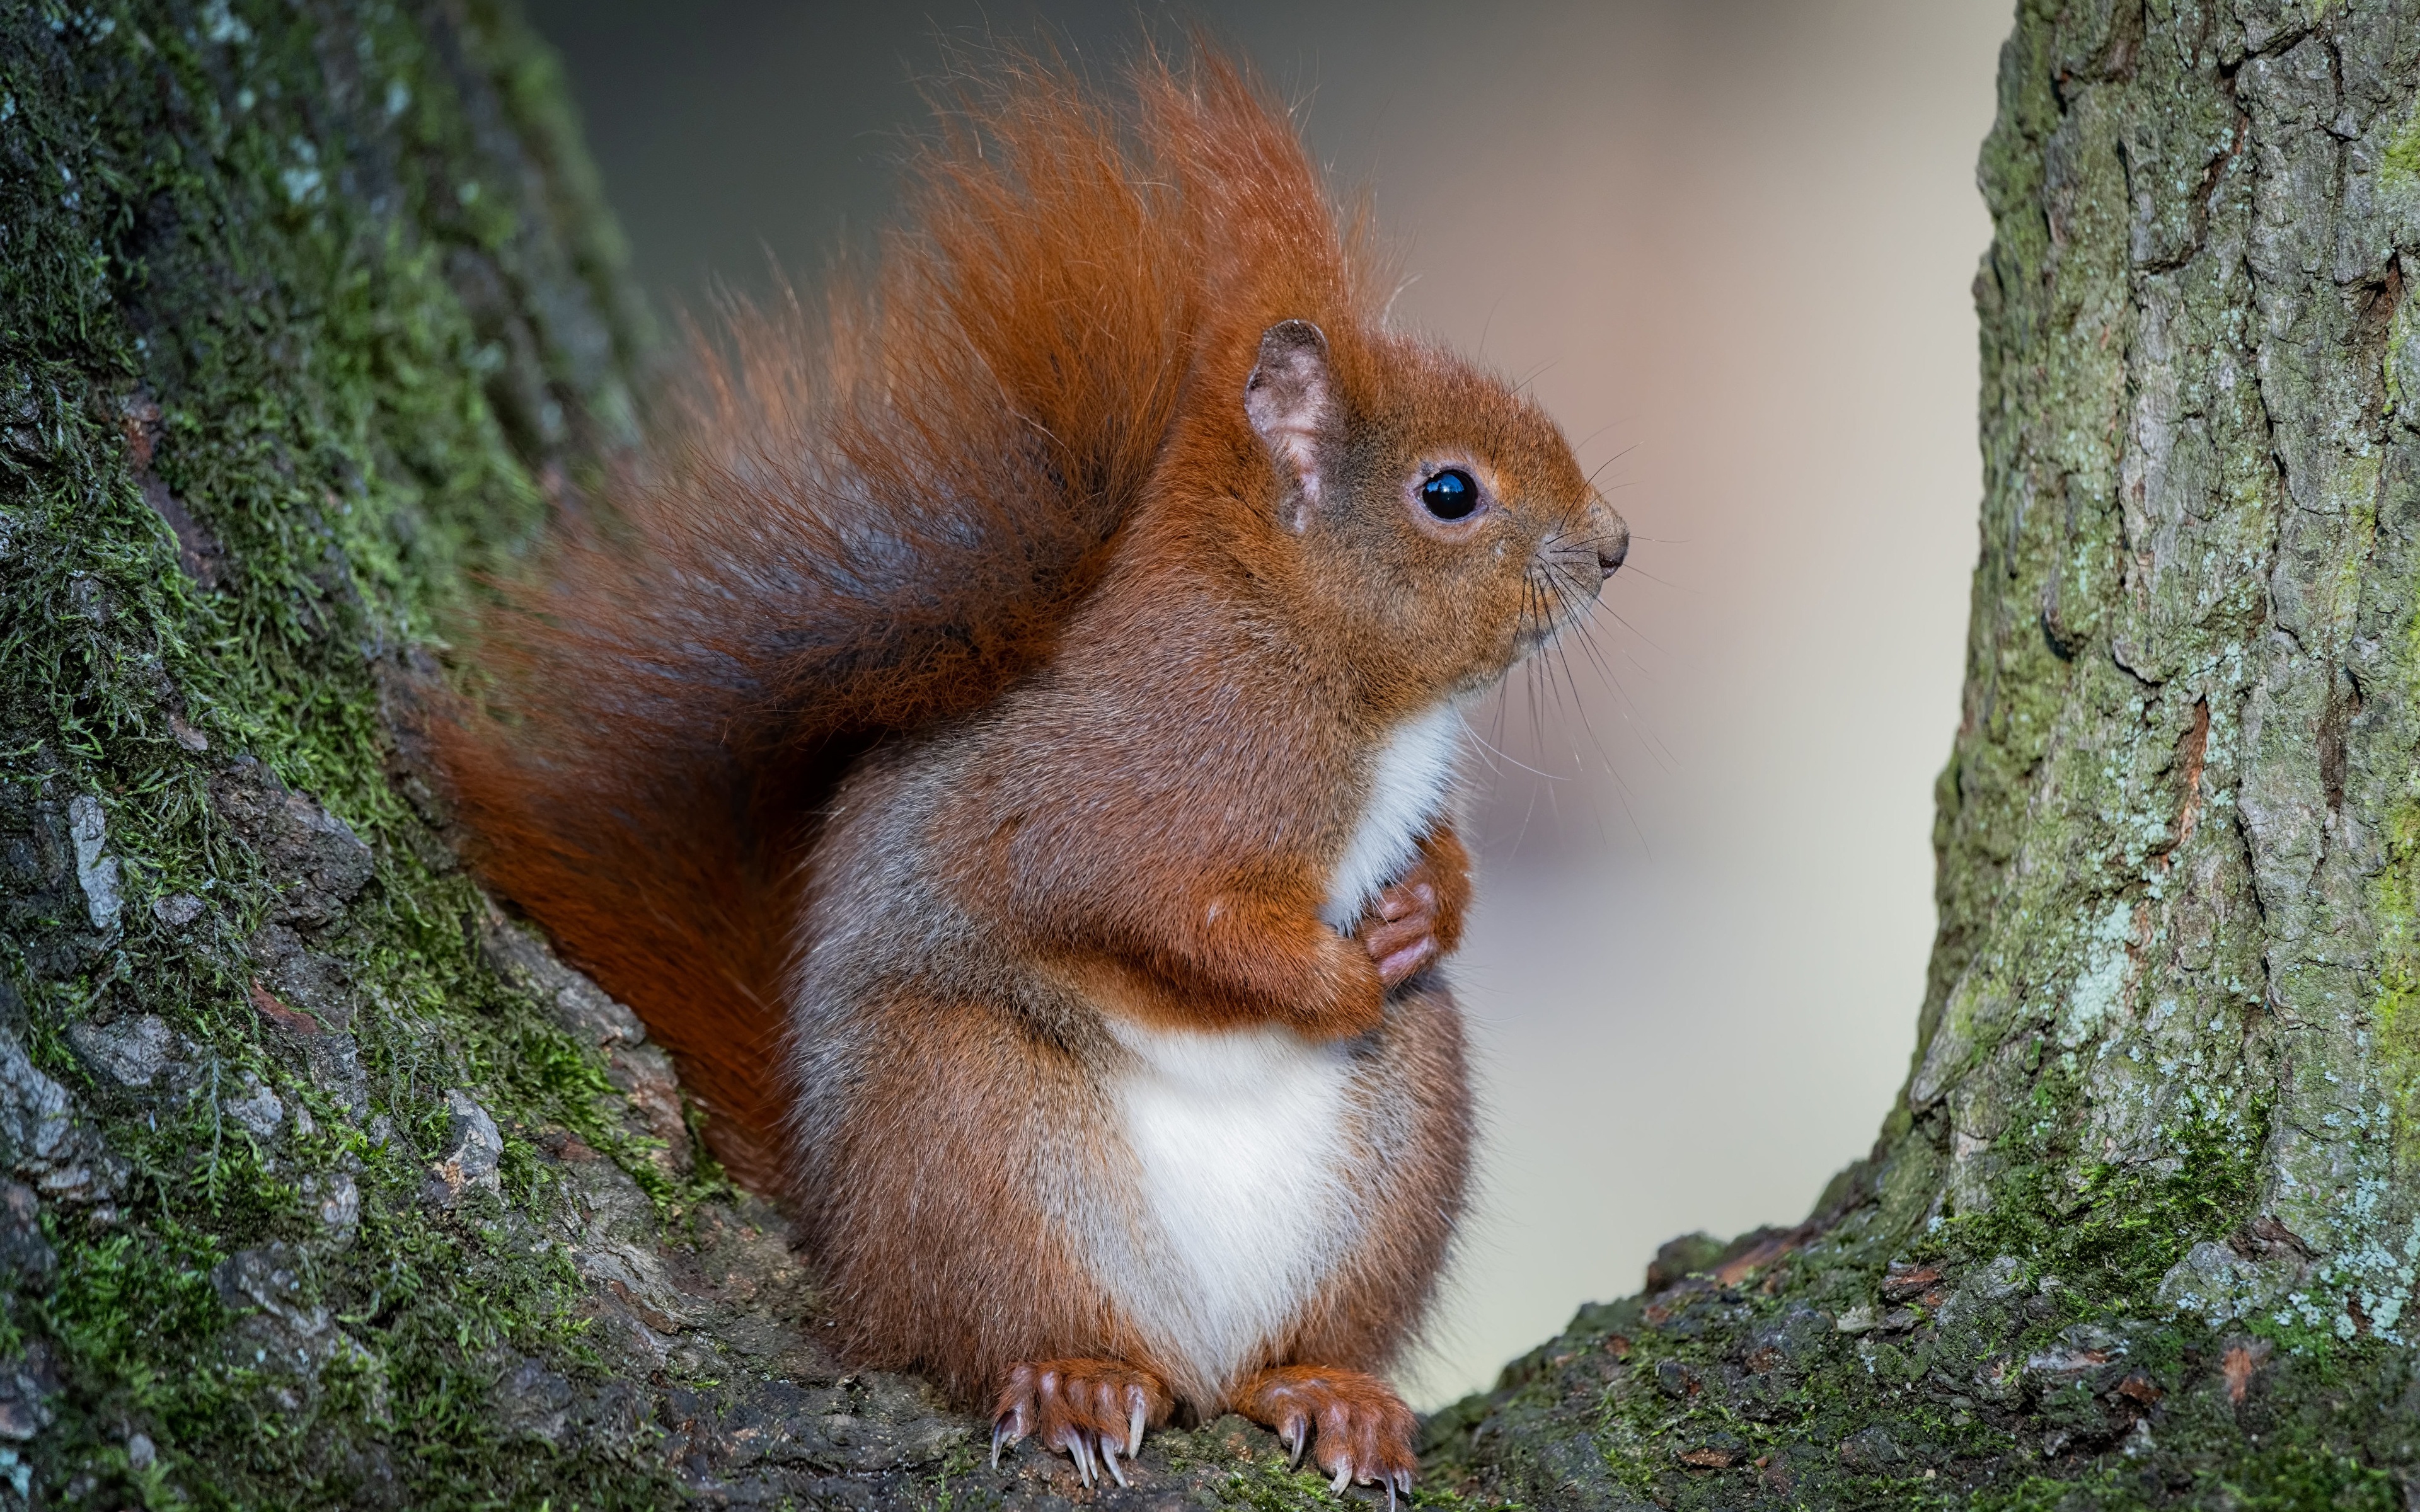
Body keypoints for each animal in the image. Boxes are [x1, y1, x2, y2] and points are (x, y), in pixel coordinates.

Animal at [434, 46, 1625, 1498]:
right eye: (1448, 493)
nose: (1617, 544)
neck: (1340, 675)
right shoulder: (1147, 777)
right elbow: (1145, 906)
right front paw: (1335, 974)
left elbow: (1435, 858)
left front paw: (1423, 915)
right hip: (974, 1131)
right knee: (1001, 1329)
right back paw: (1077, 1379)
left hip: (1400, 1135)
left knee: (1284, 1347)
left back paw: (1331, 1392)